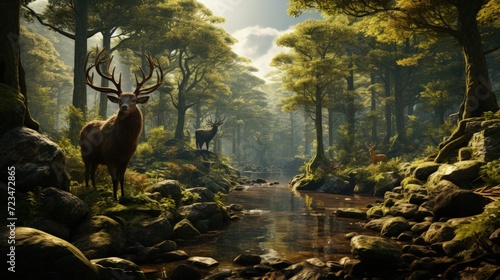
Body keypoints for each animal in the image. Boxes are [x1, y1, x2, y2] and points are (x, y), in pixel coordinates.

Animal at [79, 49, 163, 199]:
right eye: (119, 99)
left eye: (134, 100)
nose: (124, 107)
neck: (123, 144)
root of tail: (83, 128)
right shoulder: (109, 156)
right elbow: (114, 179)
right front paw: (114, 197)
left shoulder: (126, 159)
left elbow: (122, 178)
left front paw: (123, 196)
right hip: (85, 153)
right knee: (87, 172)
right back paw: (88, 189)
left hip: (96, 158)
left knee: (92, 172)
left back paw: (95, 189)